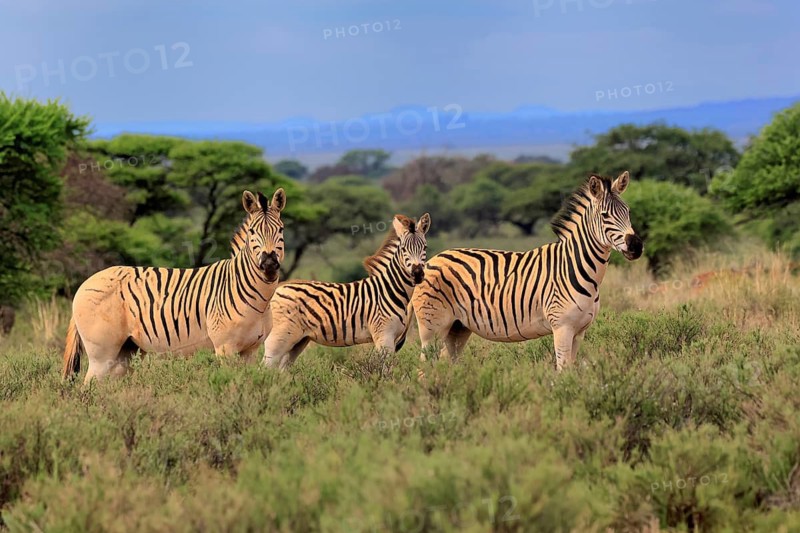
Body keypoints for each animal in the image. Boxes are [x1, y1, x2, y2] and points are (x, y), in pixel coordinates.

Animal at [61, 189, 287, 383]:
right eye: (252, 232)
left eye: (281, 229)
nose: (269, 263)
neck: (258, 300)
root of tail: (85, 283)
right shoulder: (225, 348)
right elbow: (229, 385)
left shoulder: (251, 350)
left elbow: (247, 383)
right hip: (102, 354)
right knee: (88, 386)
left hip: (125, 351)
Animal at [261, 213, 430, 370]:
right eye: (404, 249)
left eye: (425, 247)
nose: (417, 273)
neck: (390, 289)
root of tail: (280, 286)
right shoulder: (384, 336)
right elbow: (385, 372)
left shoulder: (394, 339)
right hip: (278, 338)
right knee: (264, 369)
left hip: (298, 341)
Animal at [411, 171, 643, 371]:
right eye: (605, 215)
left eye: (628, 212)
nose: (636, 246)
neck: (579, 268)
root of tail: (433, 259)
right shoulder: (562, 327)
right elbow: (563, 371)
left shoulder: (579, 331)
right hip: (432, 328)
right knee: (424, 367)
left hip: (458, 327)